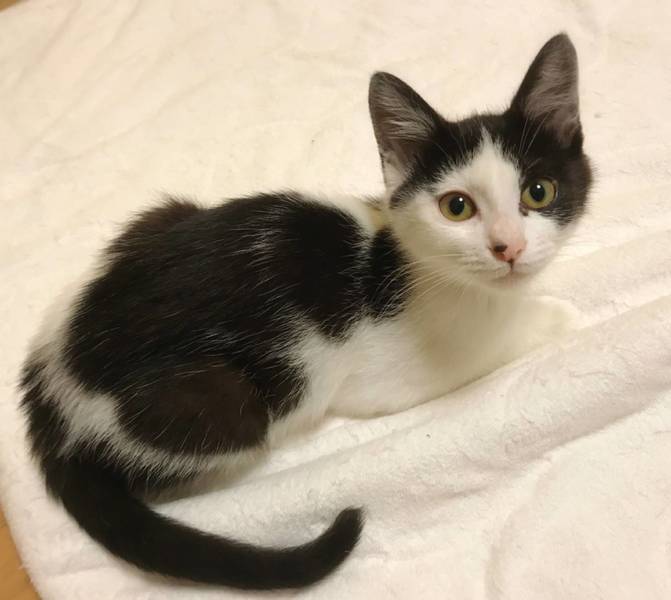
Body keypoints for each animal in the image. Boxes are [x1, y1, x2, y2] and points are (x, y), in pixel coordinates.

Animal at [20, 33, 592, 590]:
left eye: (538, 192)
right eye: (457, 207)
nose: (509, 248)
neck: (411, 263)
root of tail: (49, 393)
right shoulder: (395, 375)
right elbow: (498, 343)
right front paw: (558, 314)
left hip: (161, 216)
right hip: (230, 404)